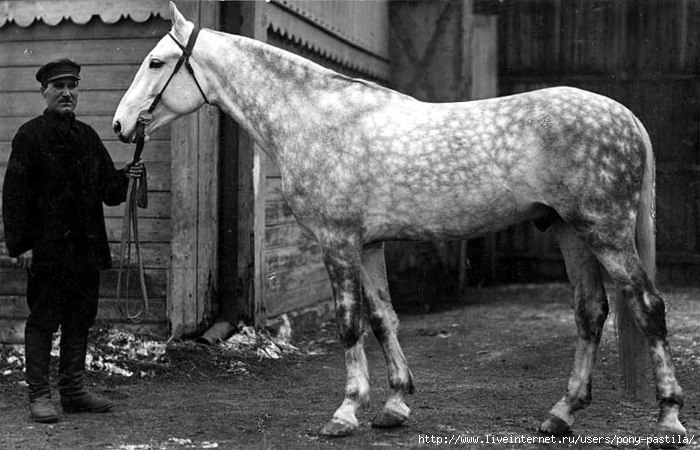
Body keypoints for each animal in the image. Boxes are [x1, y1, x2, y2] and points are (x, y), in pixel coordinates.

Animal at [112, 1, 688, 442]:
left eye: (157, 61)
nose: (120, 125)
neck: (317, 119)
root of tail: (625, 116)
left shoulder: (338, 241)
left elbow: (349, 323)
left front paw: (345, 413)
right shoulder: (368, 246)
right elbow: (383, 317)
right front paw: (394, 405)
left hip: (604, 230)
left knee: (648, 307)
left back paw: (669, 416)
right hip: (571, 231)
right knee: (591, 313)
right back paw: (561, 414)